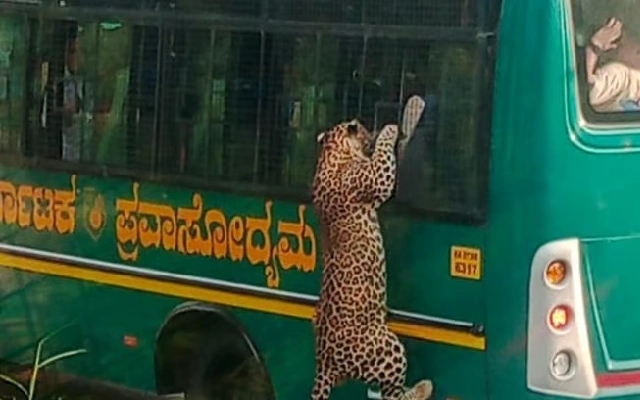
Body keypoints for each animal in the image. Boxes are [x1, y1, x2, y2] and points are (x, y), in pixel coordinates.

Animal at [310, 115, 432, 400]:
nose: (371, 131)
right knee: (393, 394)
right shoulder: (377, 178)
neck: (330, 153)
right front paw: (390, 129)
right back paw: (424, 387)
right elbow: (383, 159)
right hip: (388, 348)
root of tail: (324, 364)